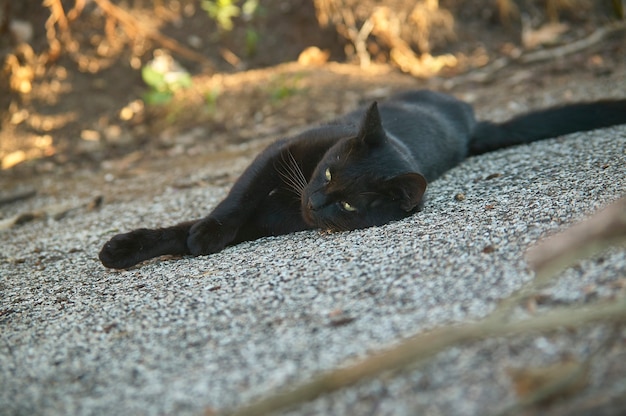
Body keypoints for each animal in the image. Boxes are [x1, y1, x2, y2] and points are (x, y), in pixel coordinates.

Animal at [97, 89, 624, 268]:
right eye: (328, 171)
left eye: (350, 205)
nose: (316, 204)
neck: (289, 202)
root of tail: (469, 118)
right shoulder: (275, 154)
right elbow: (225, 205)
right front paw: (127, 248)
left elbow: (204, 225)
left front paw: (197, 240)